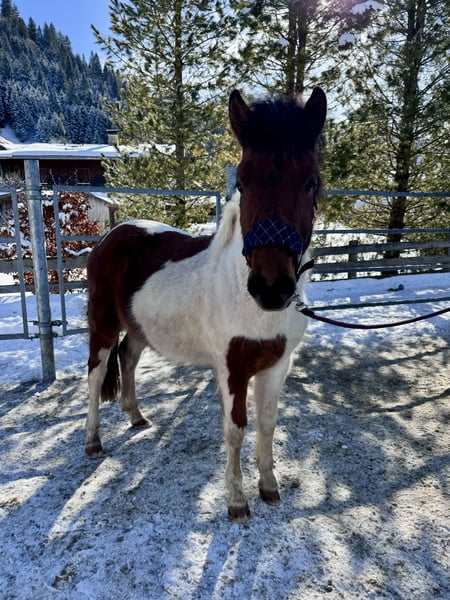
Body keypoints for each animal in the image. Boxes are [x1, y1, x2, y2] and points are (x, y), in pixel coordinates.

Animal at [85, 87, 327, 522]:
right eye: (243, 183)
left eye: (310, 182)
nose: (271, 288)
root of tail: (112, 235)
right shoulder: (232, 367)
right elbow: (236, 428)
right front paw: (237, 501)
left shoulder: (277, 364)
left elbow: (267, 423)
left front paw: (270, 487)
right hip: (103, 323)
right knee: (96, 375)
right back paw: (94, 441)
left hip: (139, 327)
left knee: (128, 358)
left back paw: (136, 416)